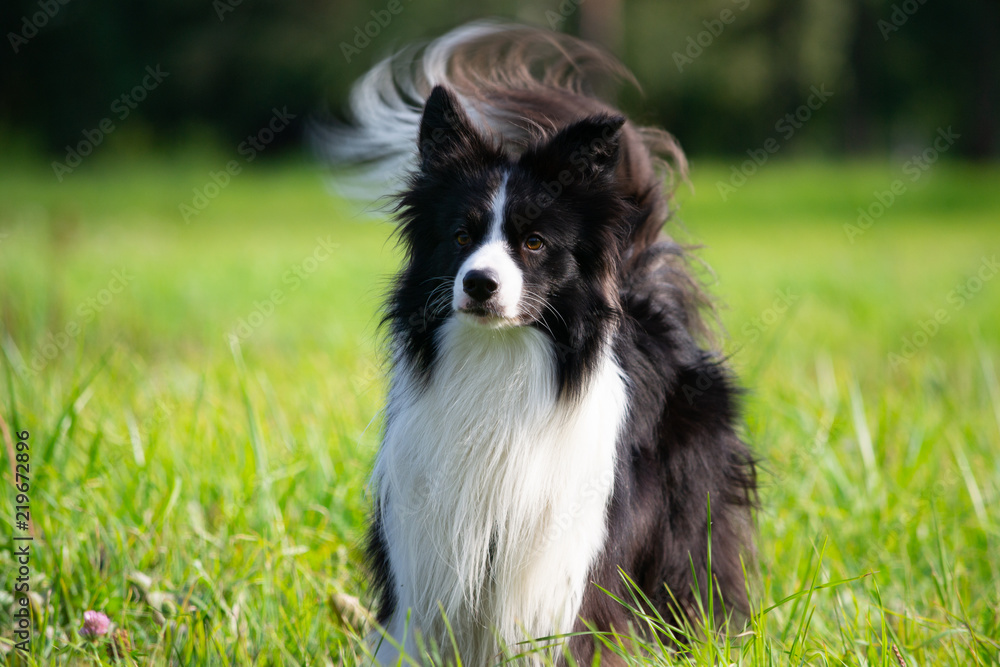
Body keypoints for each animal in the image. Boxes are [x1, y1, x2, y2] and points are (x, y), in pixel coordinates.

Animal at [324, 22, 752, 667]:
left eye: (533, 242)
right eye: (460, 235)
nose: (480, 283)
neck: (499, 360)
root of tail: (642, 293)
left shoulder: (557, 571)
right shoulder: (423, 561)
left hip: (685, 521)